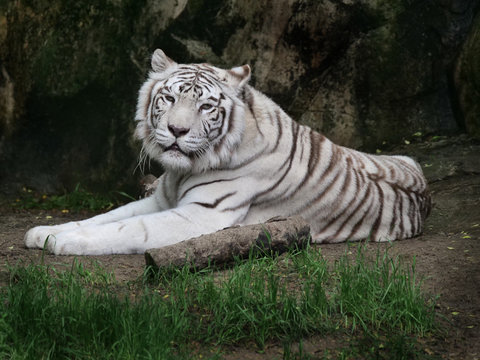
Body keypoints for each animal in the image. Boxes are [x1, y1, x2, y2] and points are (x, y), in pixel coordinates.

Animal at [25, 49, 432, 255]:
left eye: (206, 107)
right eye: (169, 98)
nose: (177, 130)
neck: (182, 171)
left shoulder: (201, 216)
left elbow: (129, 228)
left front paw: (61, 242)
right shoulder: (159, 200)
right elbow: (104, 217)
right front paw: (43, 232)